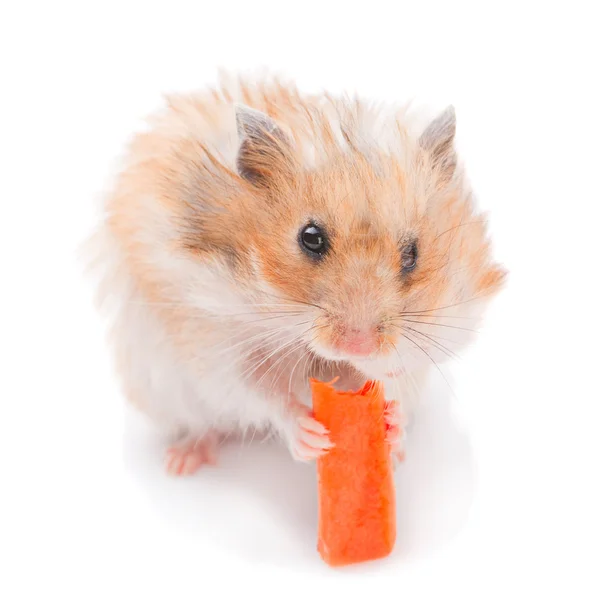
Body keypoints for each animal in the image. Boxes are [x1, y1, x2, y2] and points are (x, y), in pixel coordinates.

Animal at [86, 75, 504, 476]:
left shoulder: (440, 329)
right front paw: (311, 437)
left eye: (412, 254)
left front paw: (393, 428)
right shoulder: (209, 337)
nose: (359, 345)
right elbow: (260, 391)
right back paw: (182, 462)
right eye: (310, 238)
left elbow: (397, 375)